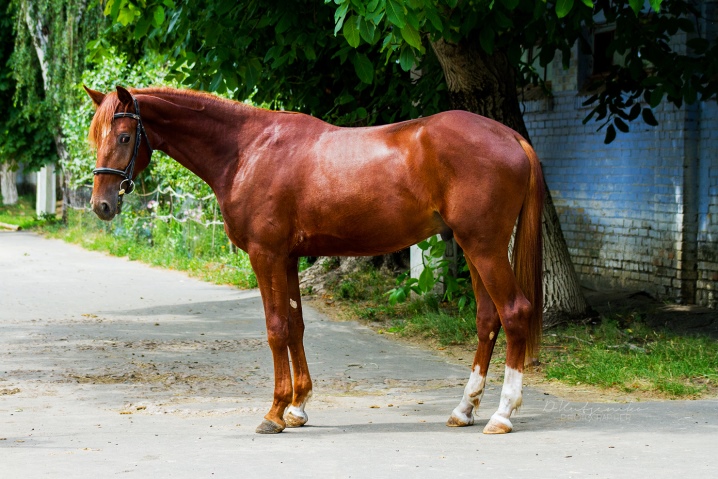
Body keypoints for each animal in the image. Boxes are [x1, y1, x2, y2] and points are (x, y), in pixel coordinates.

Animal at [84, 85, 544, 436]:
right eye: (97, 137)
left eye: (124, 137)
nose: (101, 206)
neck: (247, 151)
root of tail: (511, 137)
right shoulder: (287, 259)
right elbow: (295, 327)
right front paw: (297, 407)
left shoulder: (265, 256)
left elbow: (275, 329)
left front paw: (273, 413)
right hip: (472, 247)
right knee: (487, 319)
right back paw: (464, 410)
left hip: (484, 246)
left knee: (514, 312)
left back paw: (503, 414)